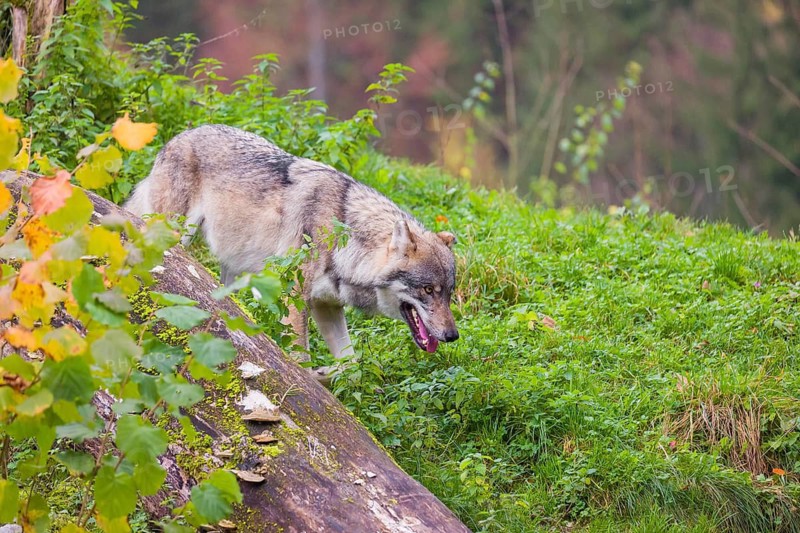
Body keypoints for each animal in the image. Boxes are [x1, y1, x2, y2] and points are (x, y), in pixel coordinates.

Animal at [124, 124, 459, 378]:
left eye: (448, 293)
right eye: (428, 290)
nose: (452, 336)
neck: (344, 237)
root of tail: (178, 137)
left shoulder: (326, 305)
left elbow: (351, 364)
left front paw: (328, 376)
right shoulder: (294, 299)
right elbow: (301, 360)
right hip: (174, 236)